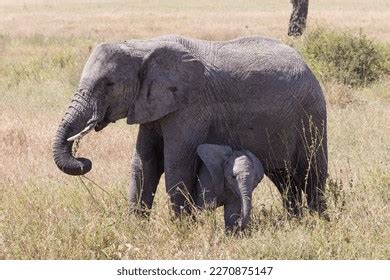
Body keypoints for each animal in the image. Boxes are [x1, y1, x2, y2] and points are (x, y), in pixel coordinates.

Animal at [51, 35, 326, 217]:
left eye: (108, 85)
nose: (84, 160)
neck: (142, 46)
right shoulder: (151, 106)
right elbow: (143, 164)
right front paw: (135, 228)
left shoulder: (190, 108)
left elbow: (176, 165)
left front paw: (182, 228)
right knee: (285, 179)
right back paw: (295, 220)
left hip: (312, 114)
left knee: (313, 174)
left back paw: (318, 222)